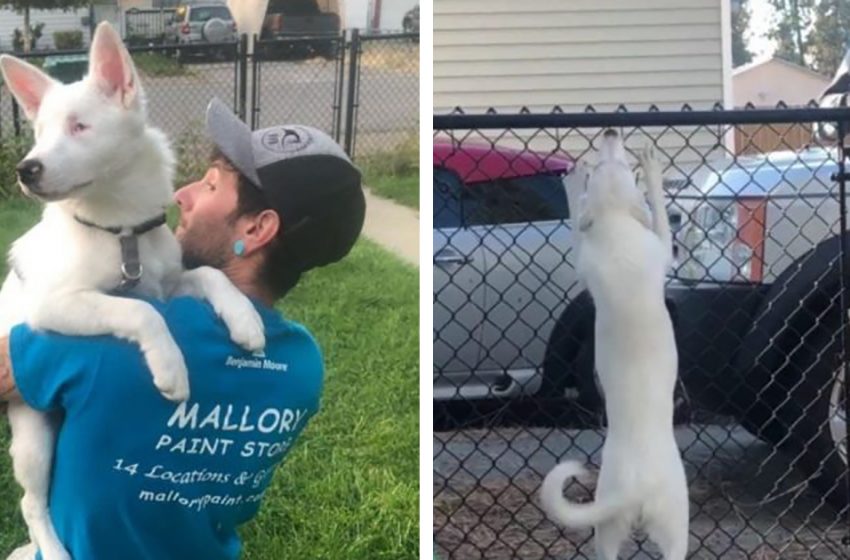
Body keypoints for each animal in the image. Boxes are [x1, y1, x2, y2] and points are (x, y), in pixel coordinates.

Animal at [0, 23, 264, 560]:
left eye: (79, 127)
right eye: (39, 134)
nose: (26, 169)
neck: (120, 231)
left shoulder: (168, 282)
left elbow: (210, 276)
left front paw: (245, 318)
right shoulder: (53, 305)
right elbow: (139, 312)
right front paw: (171, 367)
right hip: (32, 436)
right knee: (31, 503)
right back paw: (53, 549)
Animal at [536, 129, 688, 556]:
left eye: (612, 164)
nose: (610, 132)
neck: (616, 224)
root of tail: (636, 489)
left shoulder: (585, 259)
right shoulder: (661, 248)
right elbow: (659, 216)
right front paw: (651, 168)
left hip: (610, 533)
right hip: (674, 528)